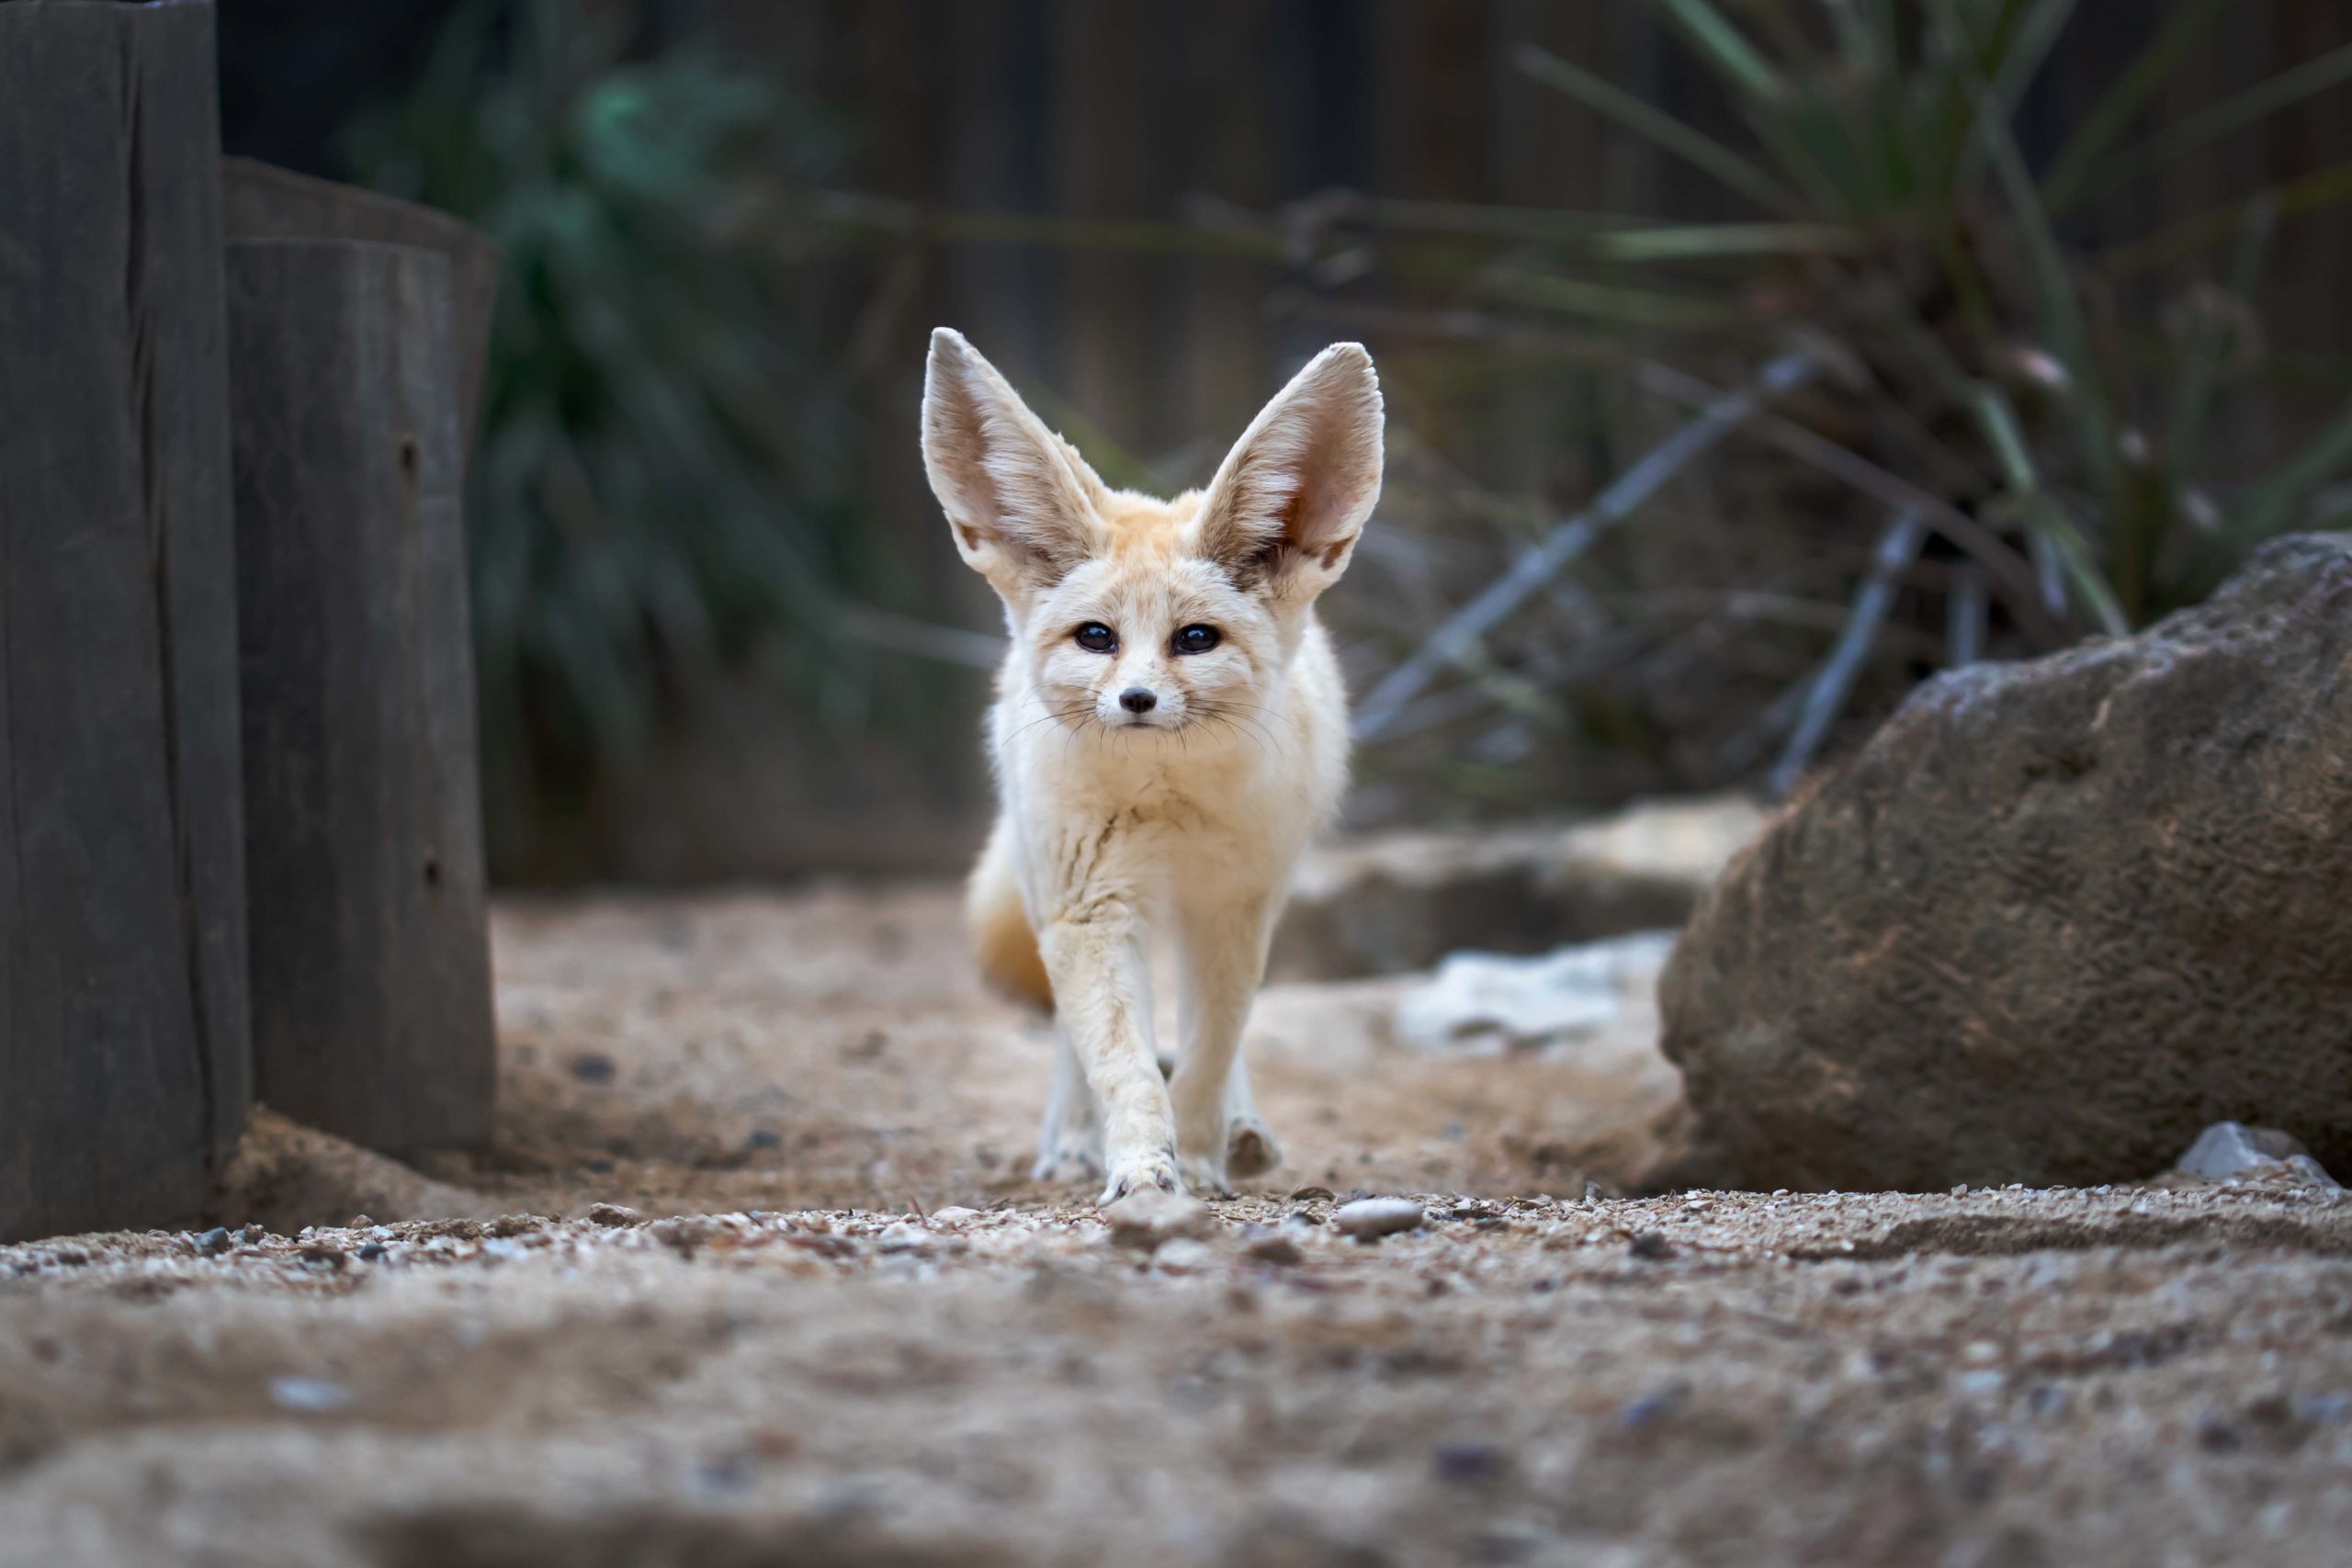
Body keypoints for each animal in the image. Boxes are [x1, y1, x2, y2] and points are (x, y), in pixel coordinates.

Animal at [917, 324, 1374, 1194]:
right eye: (1097, 636)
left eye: (1194, 639)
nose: (1136, 699)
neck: (1170, 809)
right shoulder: (1089, 908)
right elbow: (1122, 1060)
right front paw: (1140, 1170)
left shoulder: (1235, 906)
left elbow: (1210, 1048)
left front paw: (1195, 1158)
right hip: (1045, 888)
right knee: (1072, 1036)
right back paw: (1071, 1139)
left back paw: (1243, 1131)